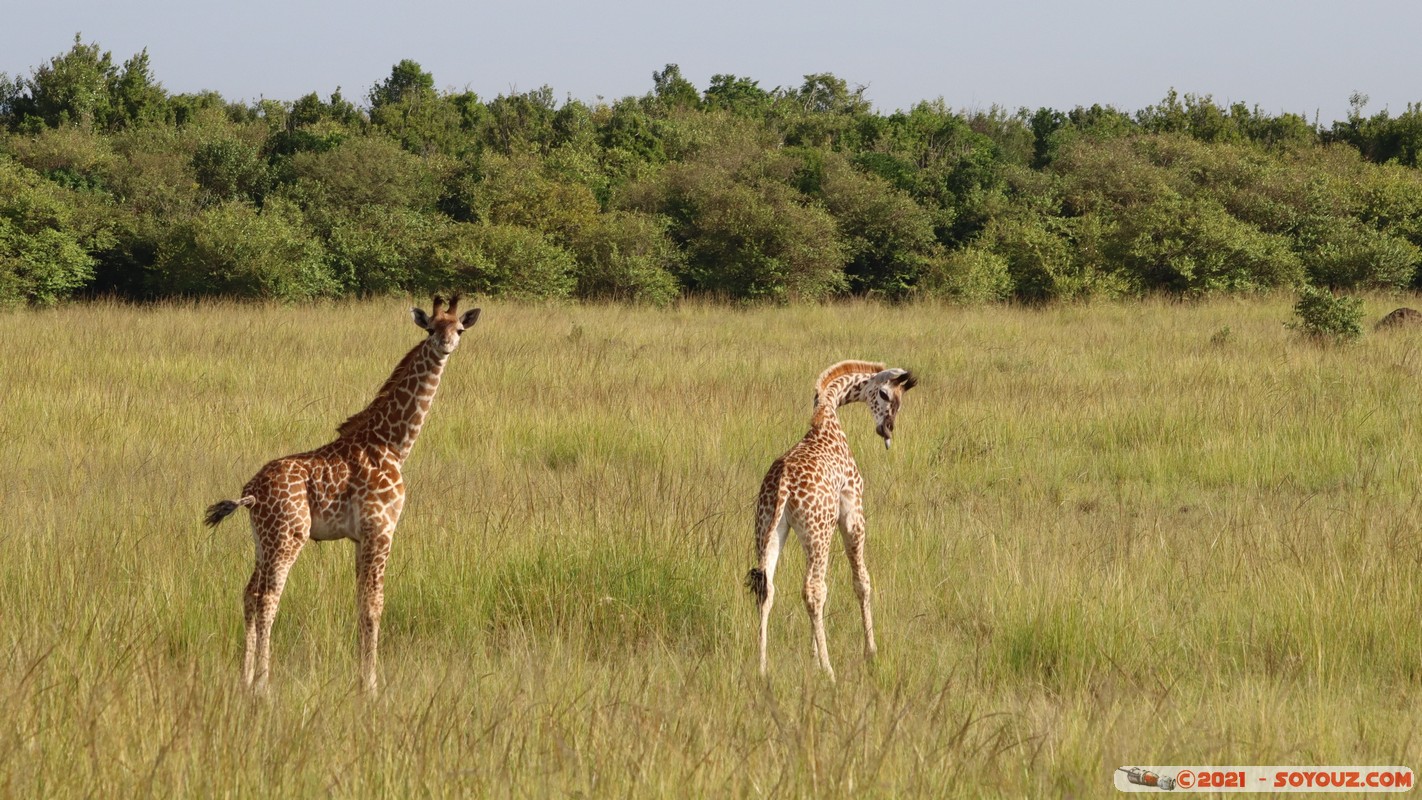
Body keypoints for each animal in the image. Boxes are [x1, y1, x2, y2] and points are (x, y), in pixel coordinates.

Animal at [204, 295, 483, 696]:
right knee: (268, 599)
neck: (393, 444)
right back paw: (264, 684)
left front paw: (362, 680)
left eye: (459, 329)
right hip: (288, 537)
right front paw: (371, 687)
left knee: (248, 594)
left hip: (263, 540)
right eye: (431, 328)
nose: (446, 345)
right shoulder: (380, 530)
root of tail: (248, 493)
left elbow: (360, 603)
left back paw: (245, 679)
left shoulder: (359, 537)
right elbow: (373, 606)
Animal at [745, 359, 921, 679]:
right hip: (819, 534)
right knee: (814, 590)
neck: (827, 415)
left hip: (767, 529)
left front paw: (813, 657)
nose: (887, 430)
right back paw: (829, 671)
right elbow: (862, 581)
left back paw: (762, 668)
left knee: (768, 589)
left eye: (901, 401)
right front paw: (870, 652)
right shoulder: (852, 511)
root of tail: (783, 484)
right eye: (886, 395)